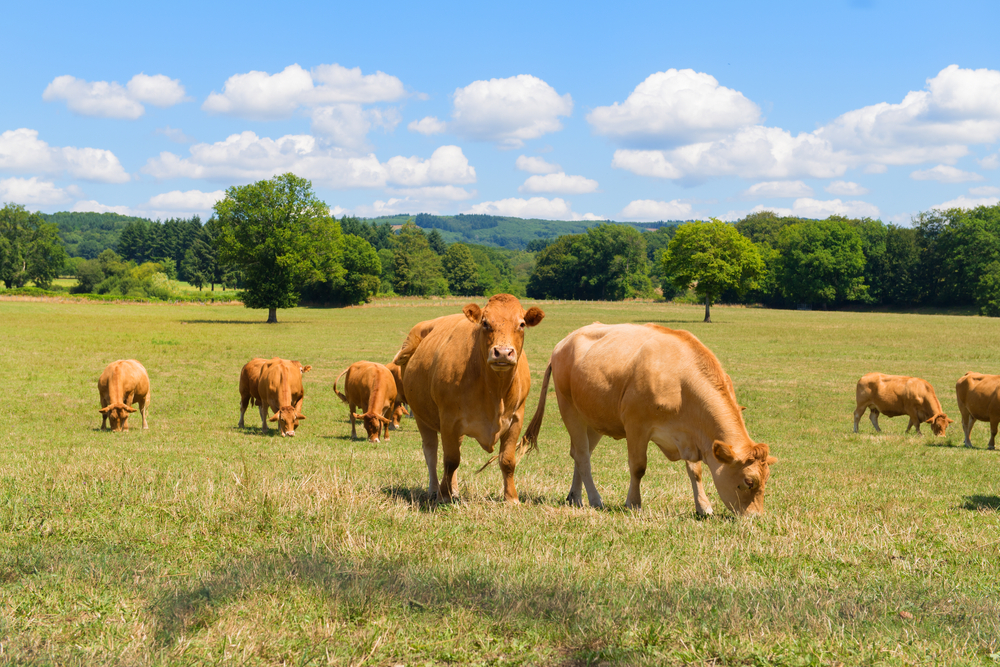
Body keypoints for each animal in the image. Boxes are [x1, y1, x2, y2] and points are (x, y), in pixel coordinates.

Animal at [392, 294, 545, 502]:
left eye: (521, 324)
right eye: (485, 323)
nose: (503, 352)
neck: (495, 392)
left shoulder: (516, 419)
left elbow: (507, 460)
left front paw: (511, 498)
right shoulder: (448, 420)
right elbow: (450, 461)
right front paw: (443, 495)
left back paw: (454, 489)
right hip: (421, 416)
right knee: (431, 452)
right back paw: (434, 489)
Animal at [520, 323, 775, 516]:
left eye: (766, 480)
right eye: (749, 481)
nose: (755, 516)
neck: (681, 383)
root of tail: (563, 343)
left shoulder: (691, 436)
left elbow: (696, 471)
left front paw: (703, 507)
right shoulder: (636, 426)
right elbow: (638, 467)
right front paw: (633, 503)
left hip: (593, 419)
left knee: (579, 454)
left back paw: (575, 497)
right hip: (569, 409)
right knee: (583, 457)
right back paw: (595, 499)